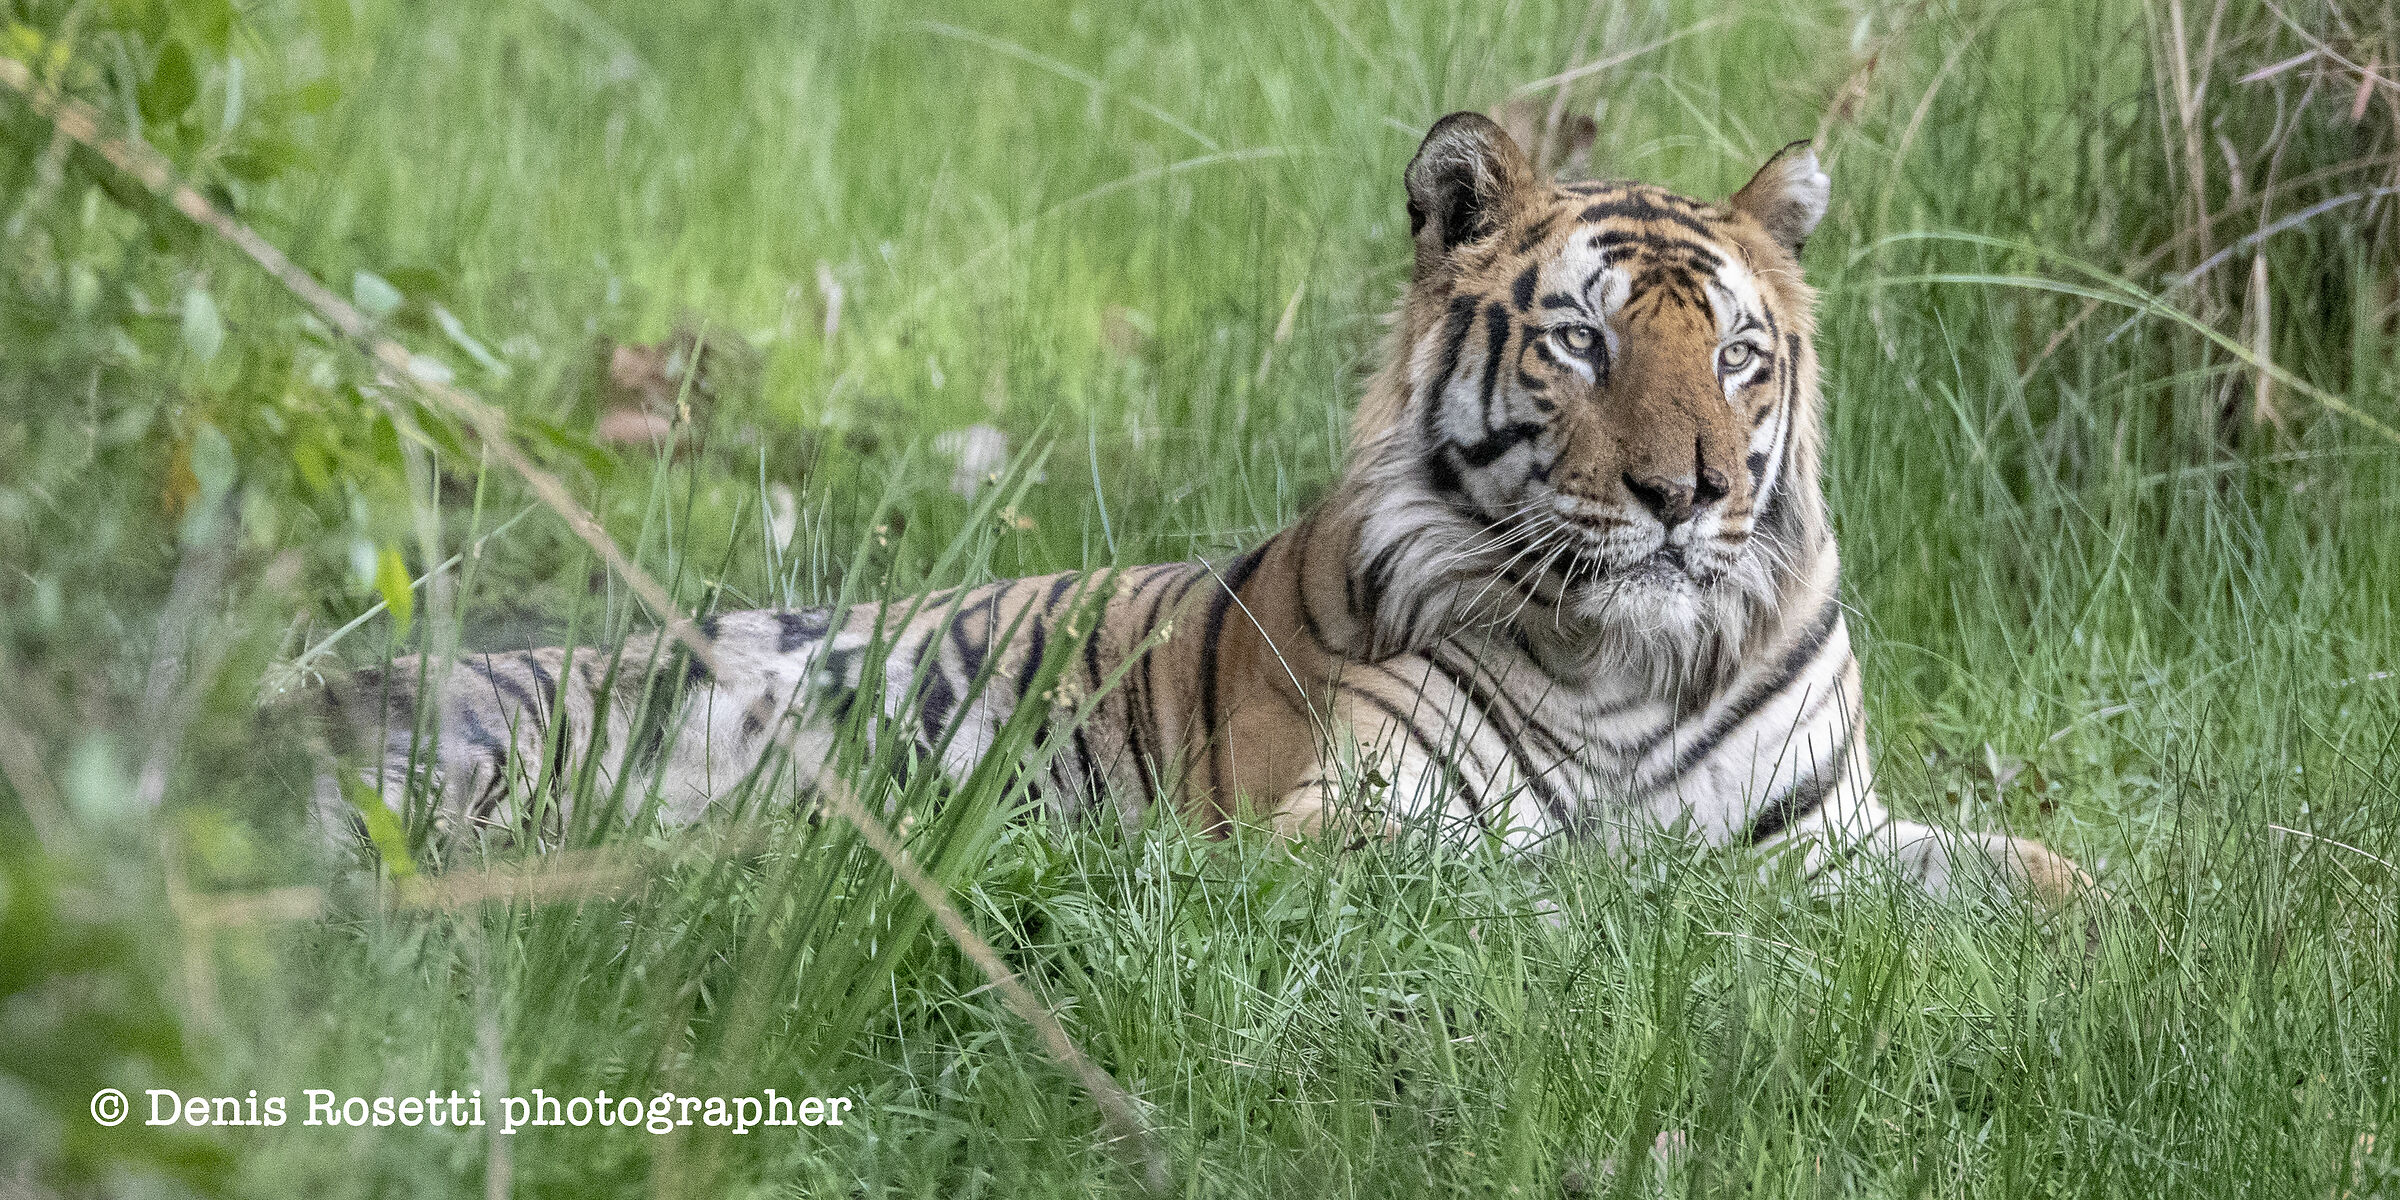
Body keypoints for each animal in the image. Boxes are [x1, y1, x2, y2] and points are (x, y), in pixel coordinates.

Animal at [320, 113, 2089, 903]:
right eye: (1582, 343)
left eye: (1735, 355)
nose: (1686, 494)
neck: (1636, 661)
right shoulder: (1334, 825)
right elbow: (1566, 875)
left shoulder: (1841, 825)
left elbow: (2047, 876)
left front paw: (2137, 928)